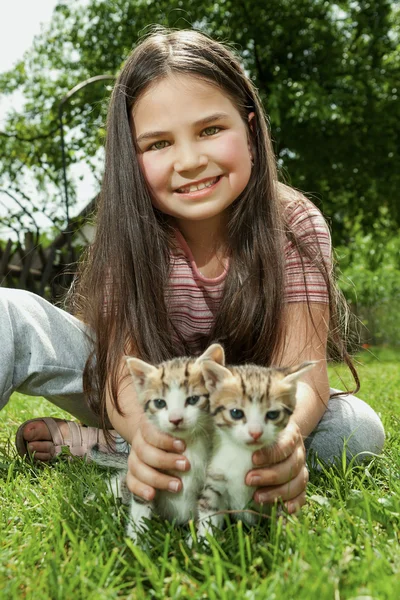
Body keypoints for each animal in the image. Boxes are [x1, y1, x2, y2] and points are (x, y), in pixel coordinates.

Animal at [89, 342, 225, 544]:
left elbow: (210, 511)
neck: (188, 445)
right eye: (160, 403)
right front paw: (136, 544)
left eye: (193, 399)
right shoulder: (146, 474)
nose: (175, 419)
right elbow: (140, 507)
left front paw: (202, 543)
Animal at [197, 358, 316, 536]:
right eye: (236, 413)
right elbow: (208, 513)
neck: (243, 453)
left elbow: (284, 514)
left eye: (273, 414)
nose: (255, 433)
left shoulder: (280, 492)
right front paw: (202, 540)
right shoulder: (215, 482)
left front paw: (287, 538)